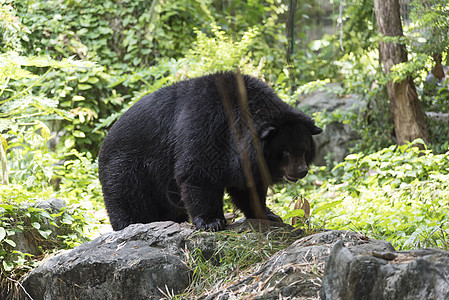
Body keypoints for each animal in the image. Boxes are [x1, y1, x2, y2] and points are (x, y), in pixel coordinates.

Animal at [98, 71, 322, 231]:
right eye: (285, 152)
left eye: (304, 150)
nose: (301, 171)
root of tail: (105, 139)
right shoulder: (207, 125)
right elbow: (197, 172)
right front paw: (211, 222)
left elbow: (248, 186)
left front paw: (268, 214)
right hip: (126, 169)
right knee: (128, 201)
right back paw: (130, 225)